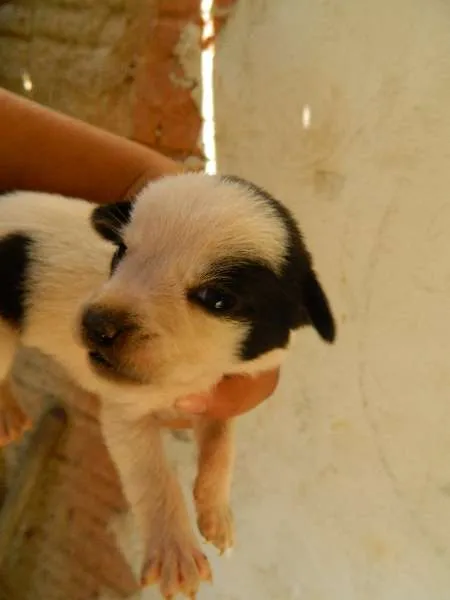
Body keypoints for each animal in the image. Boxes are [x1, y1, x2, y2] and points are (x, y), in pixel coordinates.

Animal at [0, 171, 336, 596]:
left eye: (216, 298)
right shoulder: (126, 415)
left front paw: (216, 513)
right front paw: (175, 553)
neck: (184, 378)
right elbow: (155, 477)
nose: (95, 325)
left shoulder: (222, 394)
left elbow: (222, 446)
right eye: (120, 252)